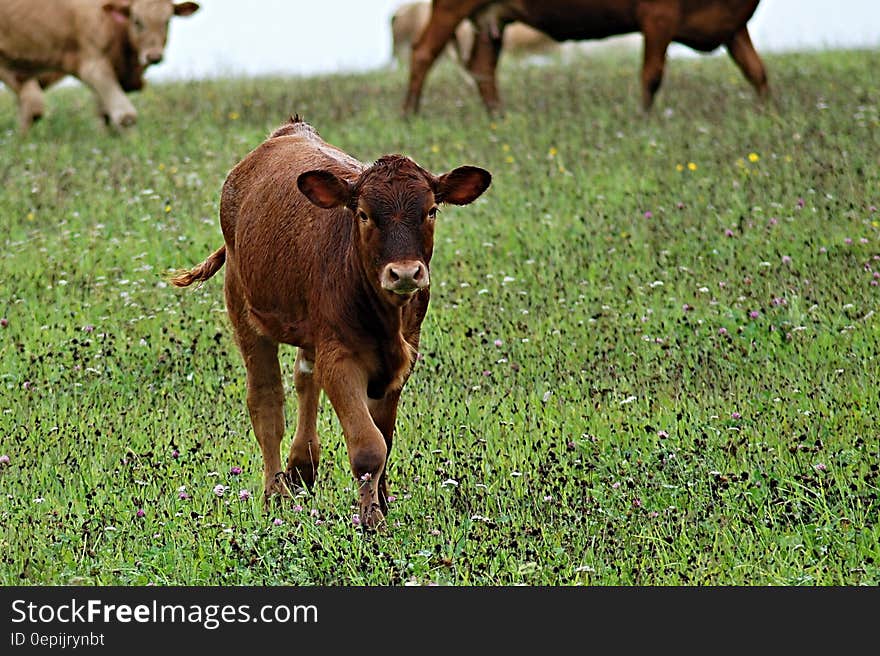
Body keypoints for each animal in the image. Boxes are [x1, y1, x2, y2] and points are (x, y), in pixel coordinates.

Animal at [0, 0, 199, 132]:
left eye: (167, 21)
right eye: (136, 20)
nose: (154, 56)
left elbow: (105, 114)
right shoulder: (93, 65)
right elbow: (126, 116)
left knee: (28, 106)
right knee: (32, 106)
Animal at [170, 116, 488, 528]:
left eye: (431, 210)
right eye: (364, 214)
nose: (404, 273)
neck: (385, 320)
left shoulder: (403, 357)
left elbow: (385, 436)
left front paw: (381, 502)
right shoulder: (340, 357)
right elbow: (368, 446)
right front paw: (371, 519)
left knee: (305, 379)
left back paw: (301, 467)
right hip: (243, 307)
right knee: (266, 400)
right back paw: (277, 493)